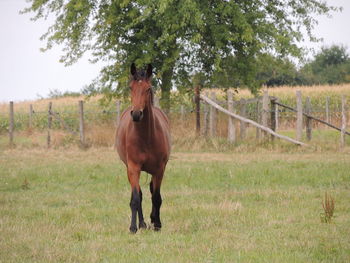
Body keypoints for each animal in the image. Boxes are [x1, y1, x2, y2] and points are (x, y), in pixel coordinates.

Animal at [116, 63, 171, 233]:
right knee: (139, 194)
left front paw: (157, 224)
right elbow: (136, 197)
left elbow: (156, 197)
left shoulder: (160, 169)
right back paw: (142, 223)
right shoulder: (133, 167)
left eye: (147, 89)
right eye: (130, 87)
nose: (136, 114)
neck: (146, 137)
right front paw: (134, 227)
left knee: (153, 190)